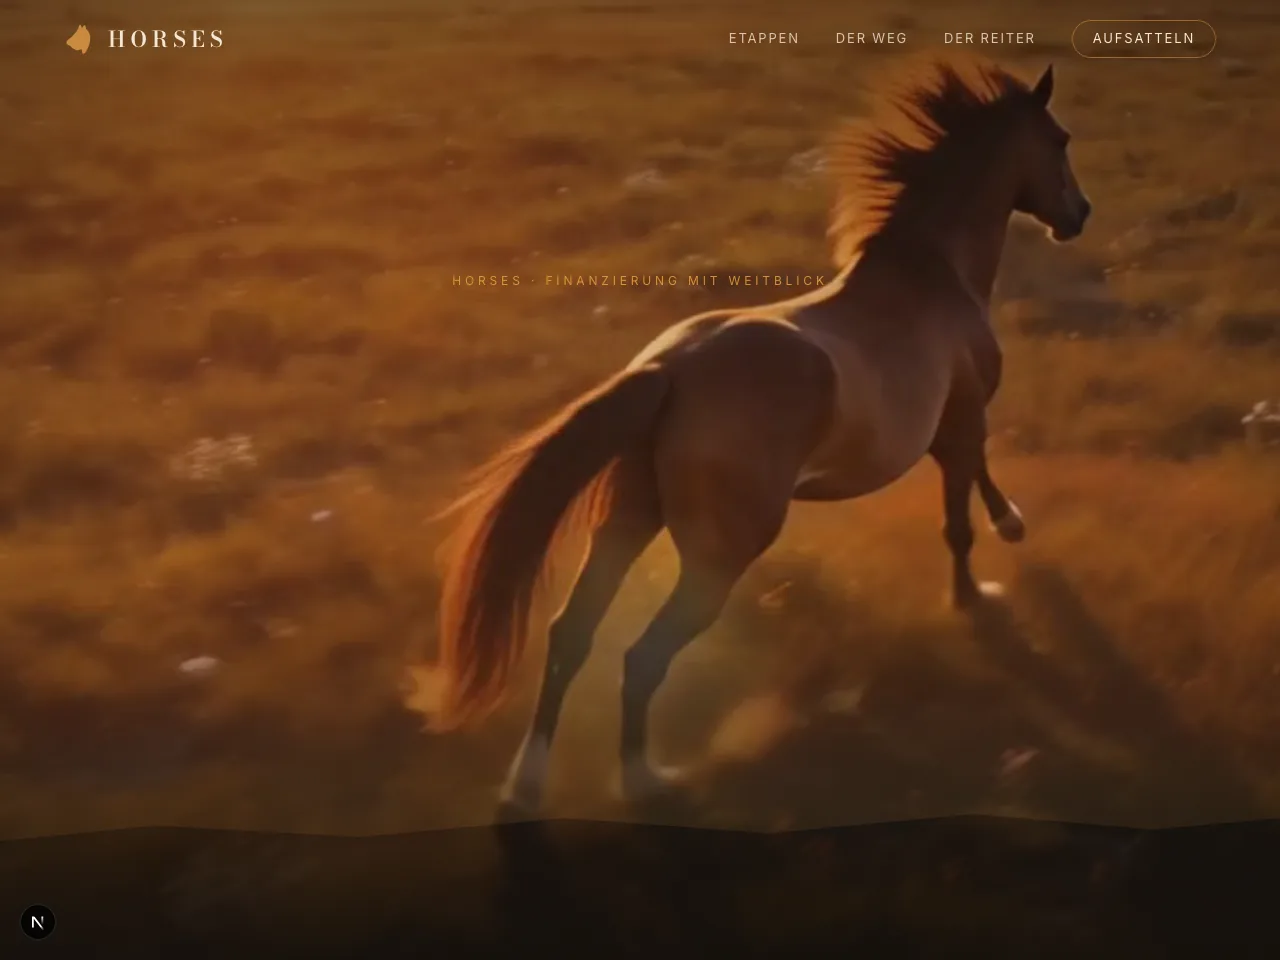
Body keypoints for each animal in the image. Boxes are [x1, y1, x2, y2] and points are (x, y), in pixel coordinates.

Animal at [430, 54, 1091, 818]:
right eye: (1060, 139)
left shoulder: (953, 428)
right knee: (643, 655)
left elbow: (973, 484)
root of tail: (669, 370)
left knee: (573, 633)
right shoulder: (962, 417)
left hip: (627, 521)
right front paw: (980, 590)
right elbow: (961, 513)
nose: (1078, 215)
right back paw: (646, 779)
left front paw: (1003, 539)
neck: (933, 275)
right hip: (717, 556)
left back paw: (525, 784)